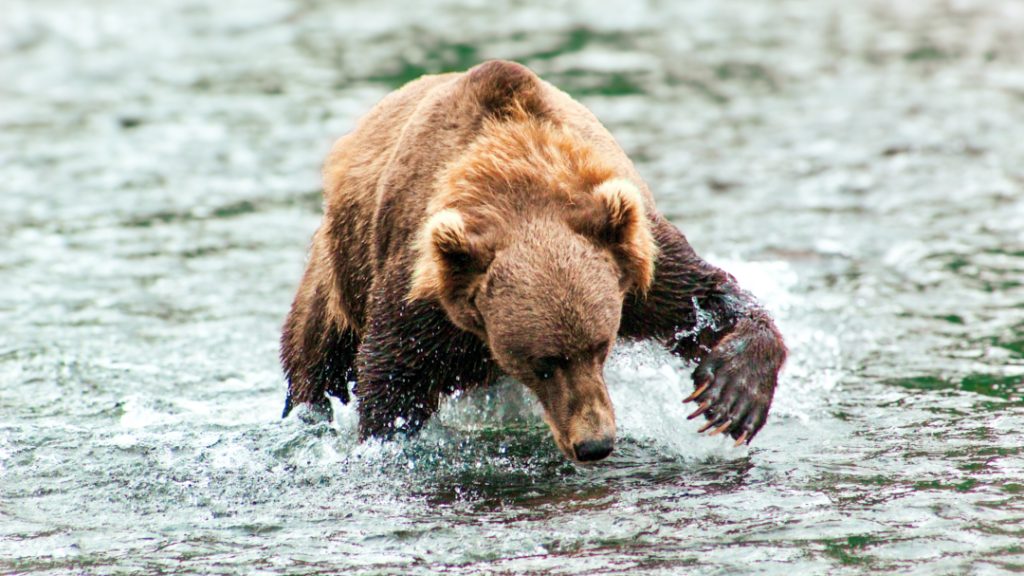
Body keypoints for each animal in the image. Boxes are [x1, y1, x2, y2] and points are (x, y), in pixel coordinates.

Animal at [280, 60, 786, 462]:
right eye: (543, 362)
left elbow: (702, 298)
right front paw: (388, 441)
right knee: (313, 357)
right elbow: (393, 379)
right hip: (337, 272)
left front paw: (731, 395)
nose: (594, 444)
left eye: (601, 346)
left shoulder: (634, 259)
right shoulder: (425, 292)